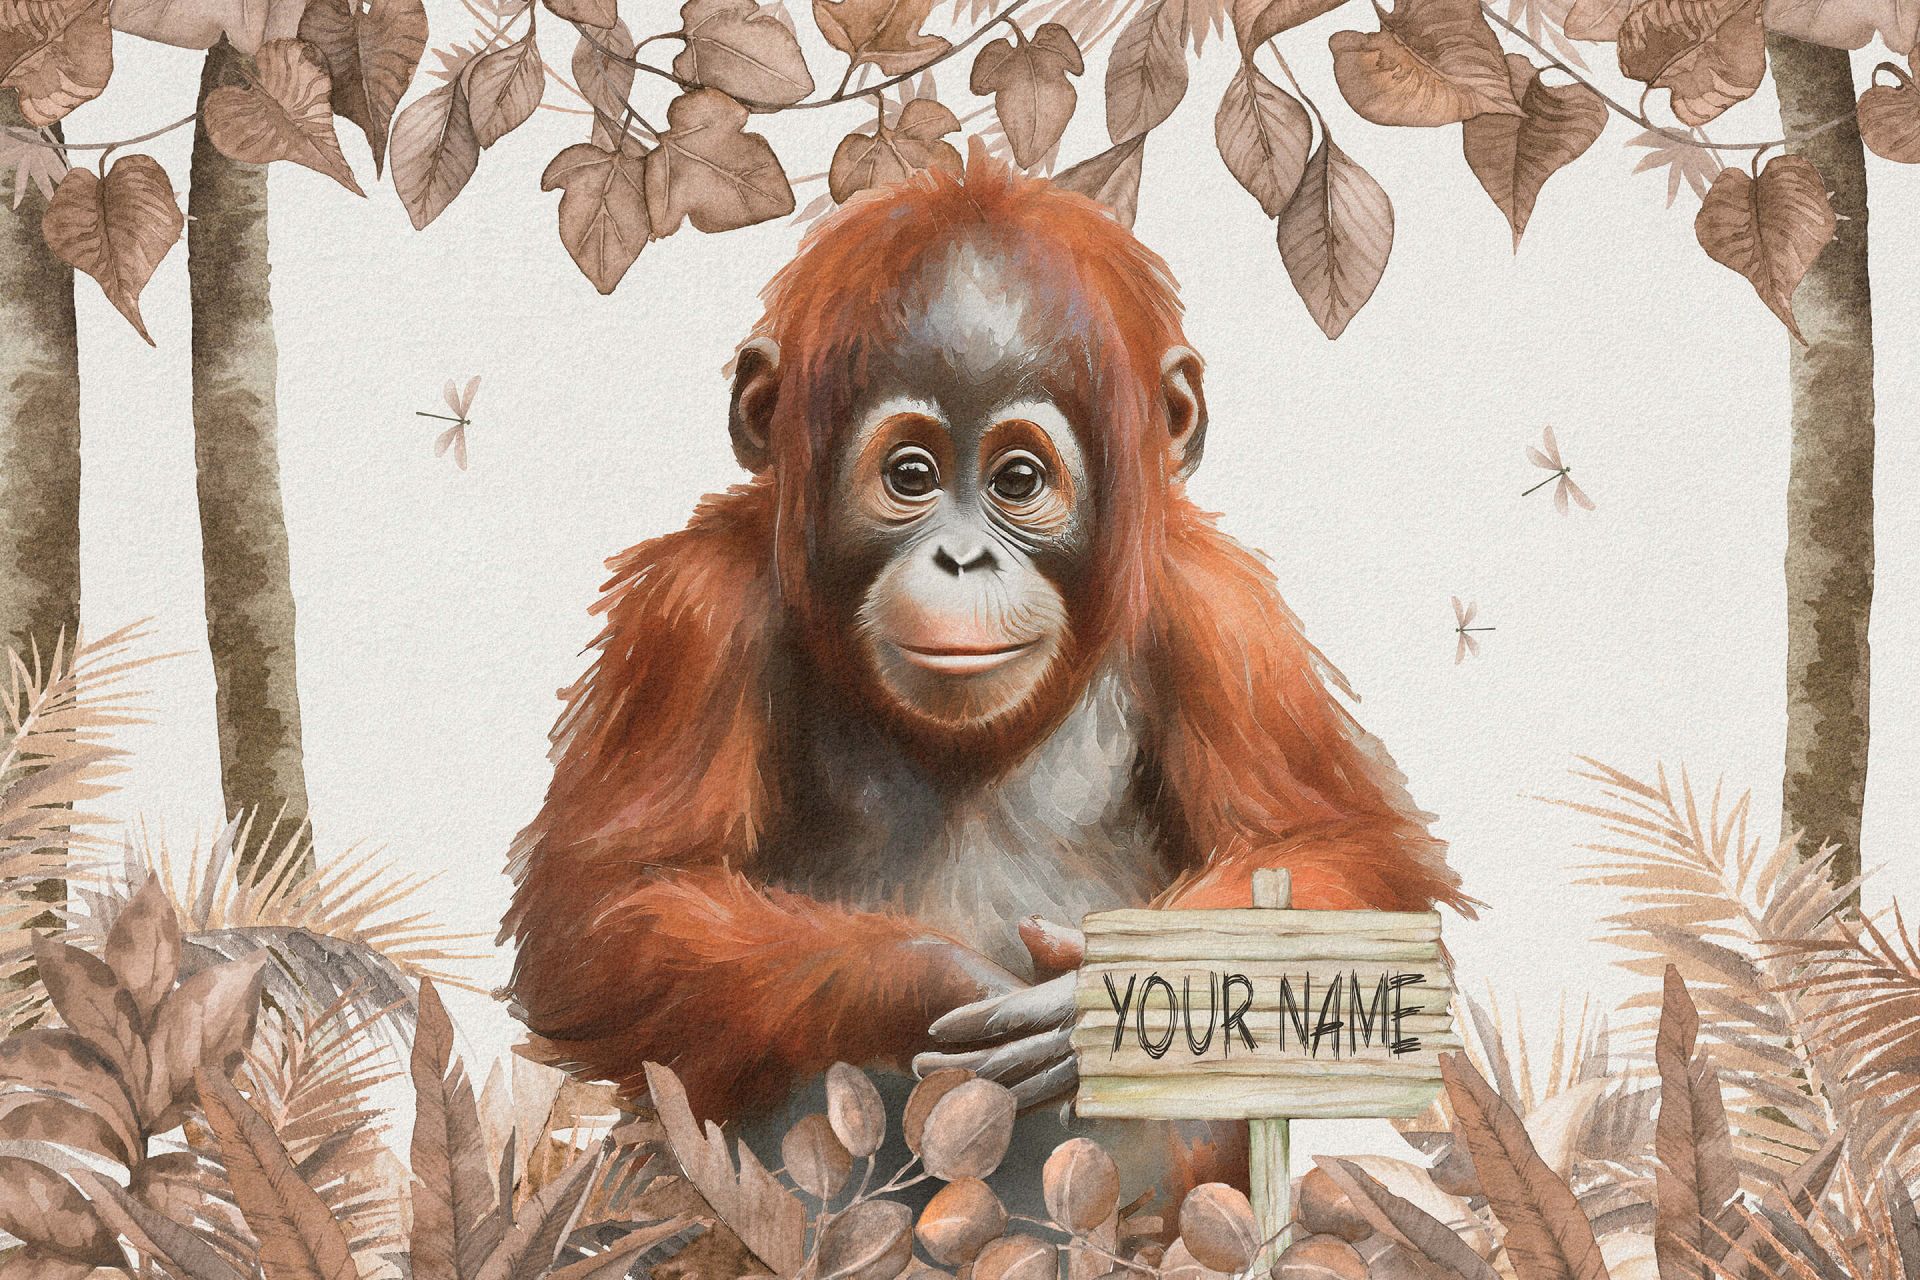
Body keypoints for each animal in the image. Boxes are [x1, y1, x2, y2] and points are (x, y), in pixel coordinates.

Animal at [501, 149, 1474, 1213]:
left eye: (1016, 481)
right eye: (912, 475)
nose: (962, 558)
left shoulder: (1226, 617)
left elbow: (1342, 860)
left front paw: (1094, 993)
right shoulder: (691, 613)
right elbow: (610, 910)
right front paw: (934, 979)